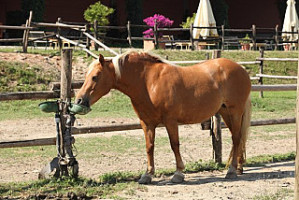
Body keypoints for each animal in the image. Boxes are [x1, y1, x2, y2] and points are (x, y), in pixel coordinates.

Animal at [75, 51, 251, 184]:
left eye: (95, 76)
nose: (79, 100)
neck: (148, 82)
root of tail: (241, 69)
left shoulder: (170, 121)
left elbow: (174, 145)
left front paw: (178, 174)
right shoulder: (146, 123)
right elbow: (149, 147)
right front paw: (147, 174)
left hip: (235, 112)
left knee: (236, 138)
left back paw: (231, 170)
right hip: (225, 112)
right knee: (238, 139)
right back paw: (238, 168)